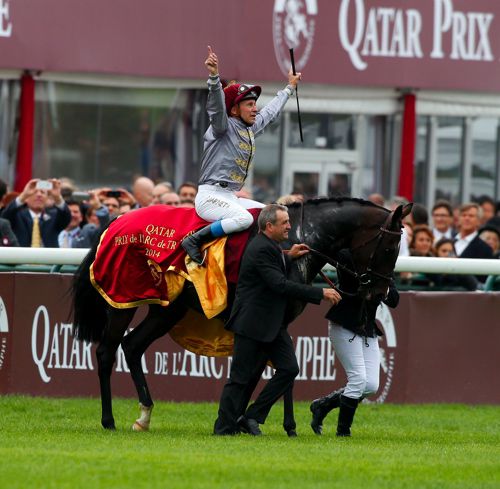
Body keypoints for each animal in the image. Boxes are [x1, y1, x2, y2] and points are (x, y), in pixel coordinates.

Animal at [72, 196, 412, 428]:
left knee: (132, 346)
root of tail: (114, 221)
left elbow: (270, 370)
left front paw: (270, 422)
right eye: (389, 249)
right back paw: (108, 419)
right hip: (123, 299)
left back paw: (144, 414)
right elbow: (262, 371)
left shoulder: (278, 321)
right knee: (106, 352)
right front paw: (250, 420)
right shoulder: (271, 317)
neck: (300, 237)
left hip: (168, 309)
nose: (380, 293)